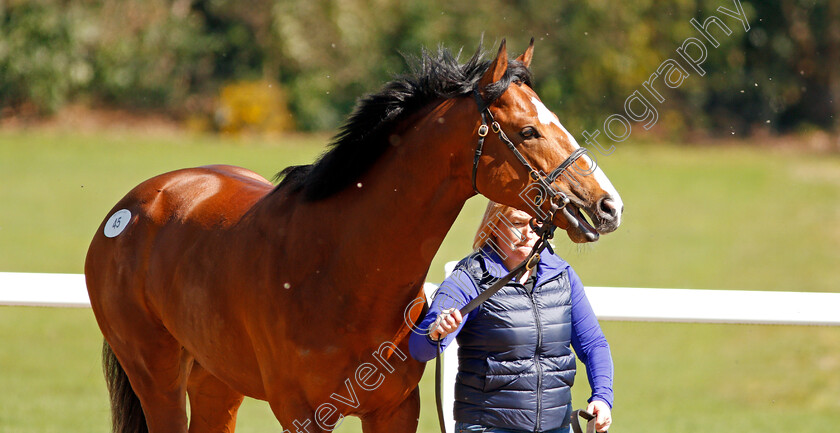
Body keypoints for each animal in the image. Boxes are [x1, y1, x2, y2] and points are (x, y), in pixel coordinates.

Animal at [85, 40, 624, 432]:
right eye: (529, 130)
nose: (607, 205)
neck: (341, 271)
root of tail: (132, 207)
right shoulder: (306, 417)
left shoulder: (394, 411)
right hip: (157, 380)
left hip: (217, 382)